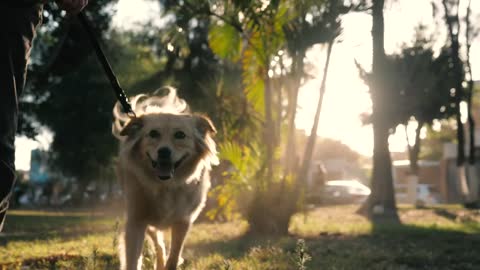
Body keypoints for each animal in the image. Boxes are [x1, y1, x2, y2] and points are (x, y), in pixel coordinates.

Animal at [111, 87, 218, 270]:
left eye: (180, 135)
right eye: (153, 134)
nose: (164, 152)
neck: (165, 186)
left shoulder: (183, 221)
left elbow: (174, 256)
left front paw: (172, 262)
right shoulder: (136, 219)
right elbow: (133, 259)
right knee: (157, 242)